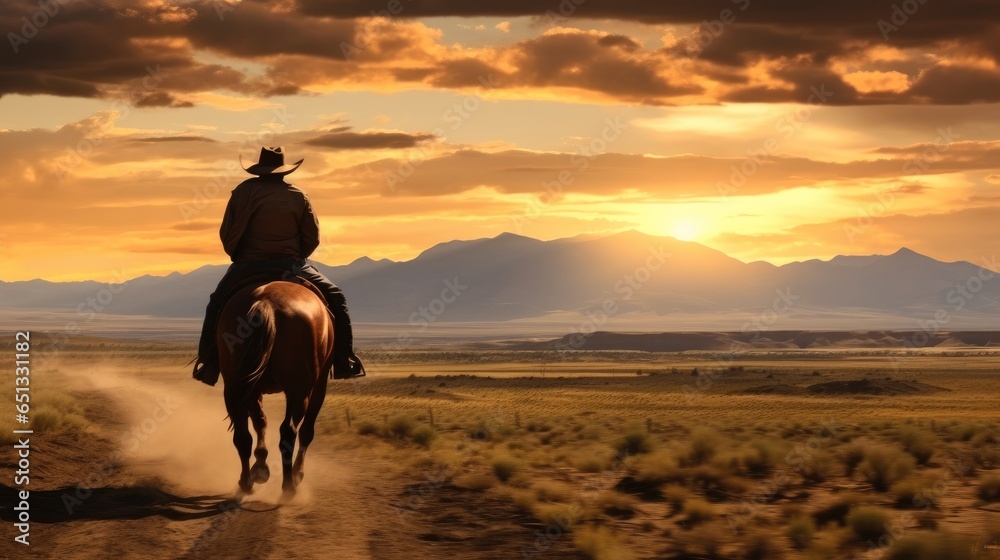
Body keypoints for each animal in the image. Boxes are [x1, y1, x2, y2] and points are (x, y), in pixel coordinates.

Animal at [217, 280, 334, 494]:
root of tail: (267, 304)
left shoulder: (253, 388)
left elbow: (260, 422)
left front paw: (260, 466)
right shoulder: (320, 385)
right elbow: (307, 431)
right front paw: (298, 473)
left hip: (234, 388)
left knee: (242, 435)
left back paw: (246, 482)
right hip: (299, 391)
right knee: (289, 431)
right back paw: (289, 484)